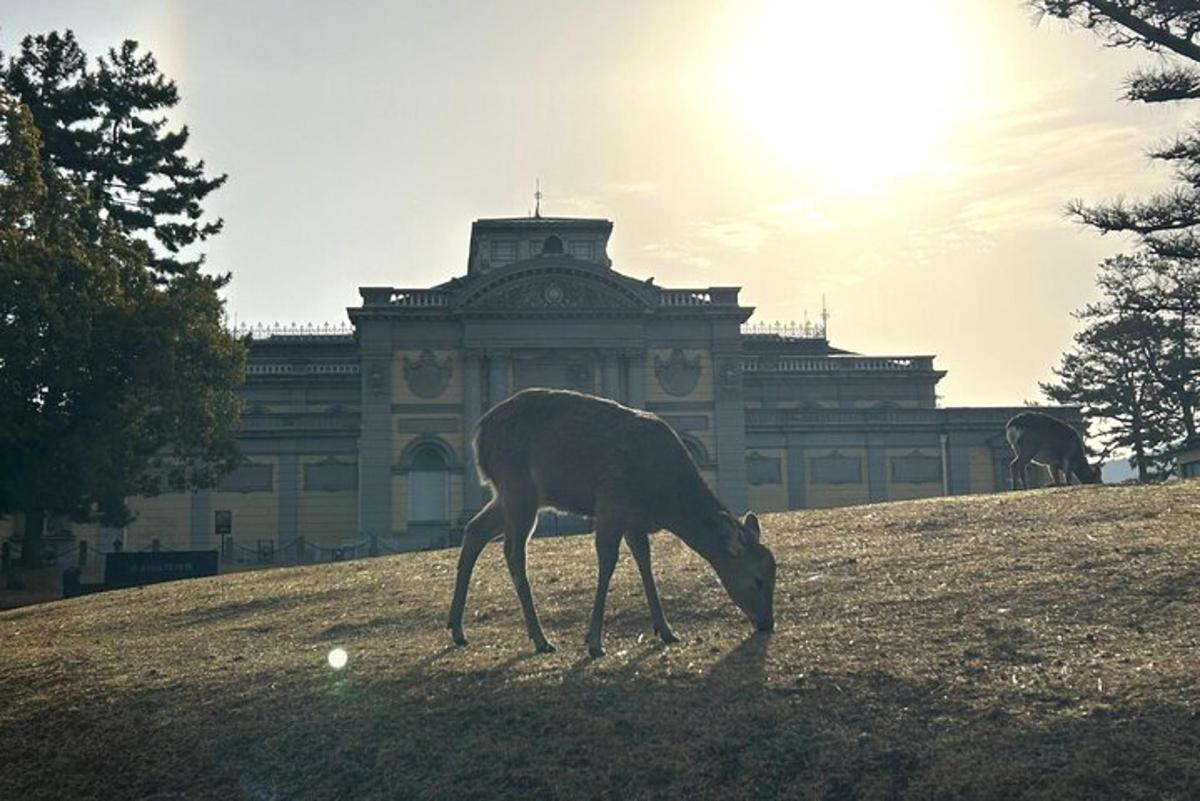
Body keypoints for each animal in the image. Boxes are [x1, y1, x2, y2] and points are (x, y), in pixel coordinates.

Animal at [446, 386, 772, 657]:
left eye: (773, 573)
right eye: (758, 578)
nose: (768, 623)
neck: (664, 500)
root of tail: (478, 435)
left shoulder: (634, 520)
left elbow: (645, 561)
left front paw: (666, 630)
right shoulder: (612, 502)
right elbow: (608, 563)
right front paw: (593, 642)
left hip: (509, 494)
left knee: (475, 530)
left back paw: (457, 629)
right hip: (518, 488)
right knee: (513, 552)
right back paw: (540, 638)